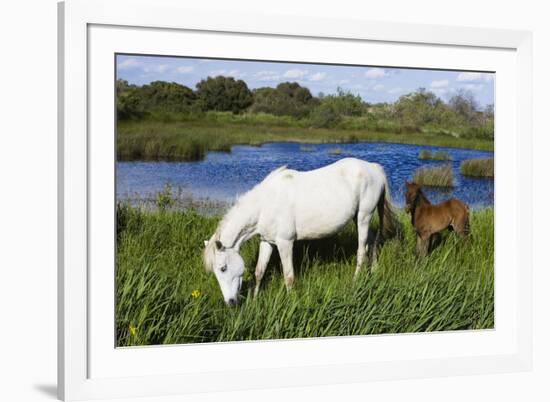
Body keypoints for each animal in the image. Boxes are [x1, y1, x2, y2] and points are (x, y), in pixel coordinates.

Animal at [203, 157, 396, 304]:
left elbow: (289, 276)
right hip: (358, 218)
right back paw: (374, 272)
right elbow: (259, 272)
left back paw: (355, 283)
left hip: (364, 216)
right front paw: (255, 300)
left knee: (361, 251)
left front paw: (291, 302)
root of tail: (374, 168)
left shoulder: (285, 243)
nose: (230, 303)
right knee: (372, 242)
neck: (266, 204)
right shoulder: (267, 242)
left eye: (223, 268)